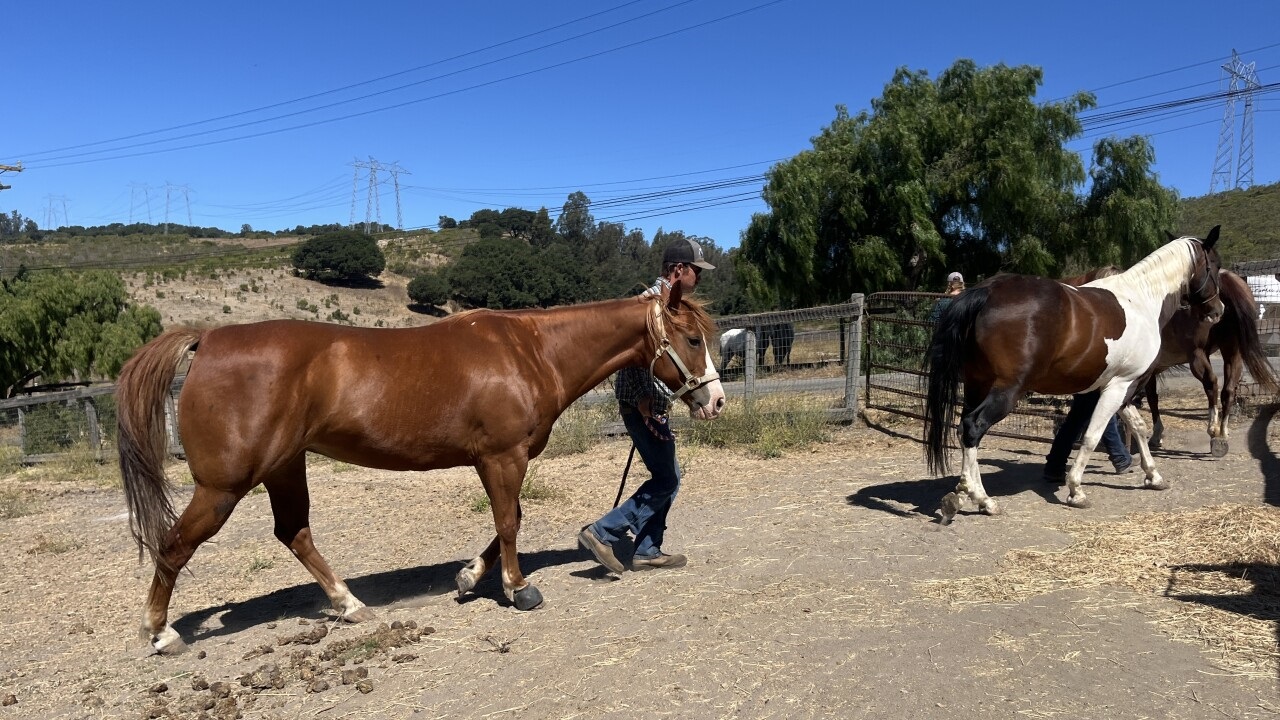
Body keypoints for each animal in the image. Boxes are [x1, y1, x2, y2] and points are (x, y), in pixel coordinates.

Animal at [116, 288, 726, 654]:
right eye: (693, 338)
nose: (715, 401)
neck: (530, 349)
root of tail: (208, 339)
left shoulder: (499, 459)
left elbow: (506, 520)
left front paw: (469, 578)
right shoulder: (502, 456)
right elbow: (509, 521)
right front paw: (519, 589)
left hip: (284, 467)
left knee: (294, 533)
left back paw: (349, 605)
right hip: (223, 486)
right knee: (175, 545)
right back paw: (162, 633)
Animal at [923, 227, 1224, 523]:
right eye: (1216, 266)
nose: (1218, 310)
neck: (1141, 301)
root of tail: (987, 292)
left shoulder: (1122, 387)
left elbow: (1138, 427)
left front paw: (1154, 476)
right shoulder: (1119, 386)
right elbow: (1092, 435)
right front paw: (1076, 490)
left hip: (977, 385)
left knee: (964, 429)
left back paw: (964, 493)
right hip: (1006, 391)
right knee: (974, 426)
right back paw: (983, 500)